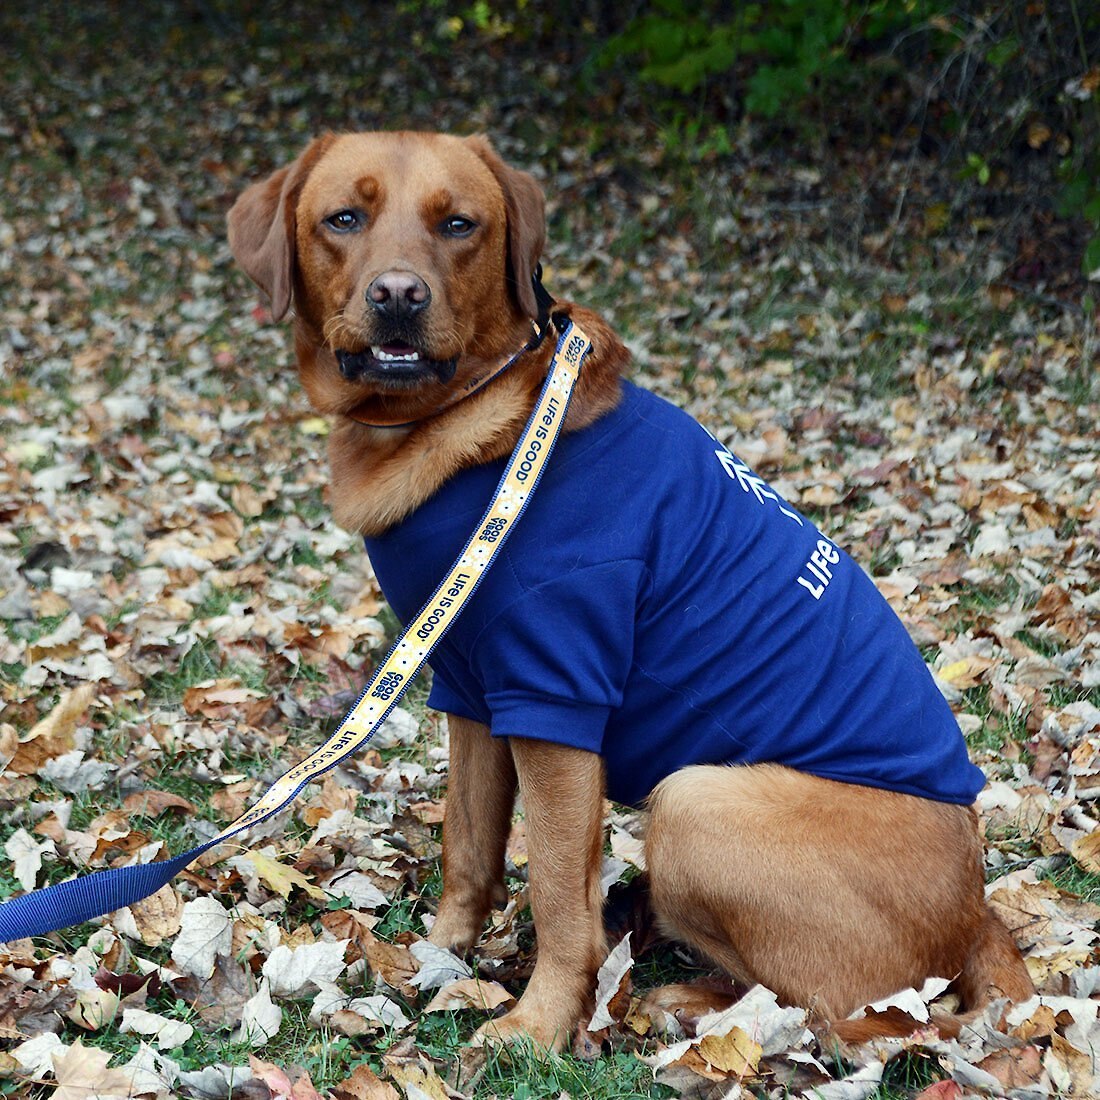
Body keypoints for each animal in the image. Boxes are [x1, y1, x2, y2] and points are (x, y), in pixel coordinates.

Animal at [227, 133, 1034, 1051]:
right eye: (343, 219)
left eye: (459, 224)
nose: (399, 297)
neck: (468, 422)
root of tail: (977, 915)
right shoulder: (469, 684)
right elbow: (468, 844)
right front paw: (442, 953)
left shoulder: (557, 695)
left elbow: (555, 892)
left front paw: (538, 1023)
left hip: (694, 803)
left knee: (853, 1019)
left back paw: (693, 1005)